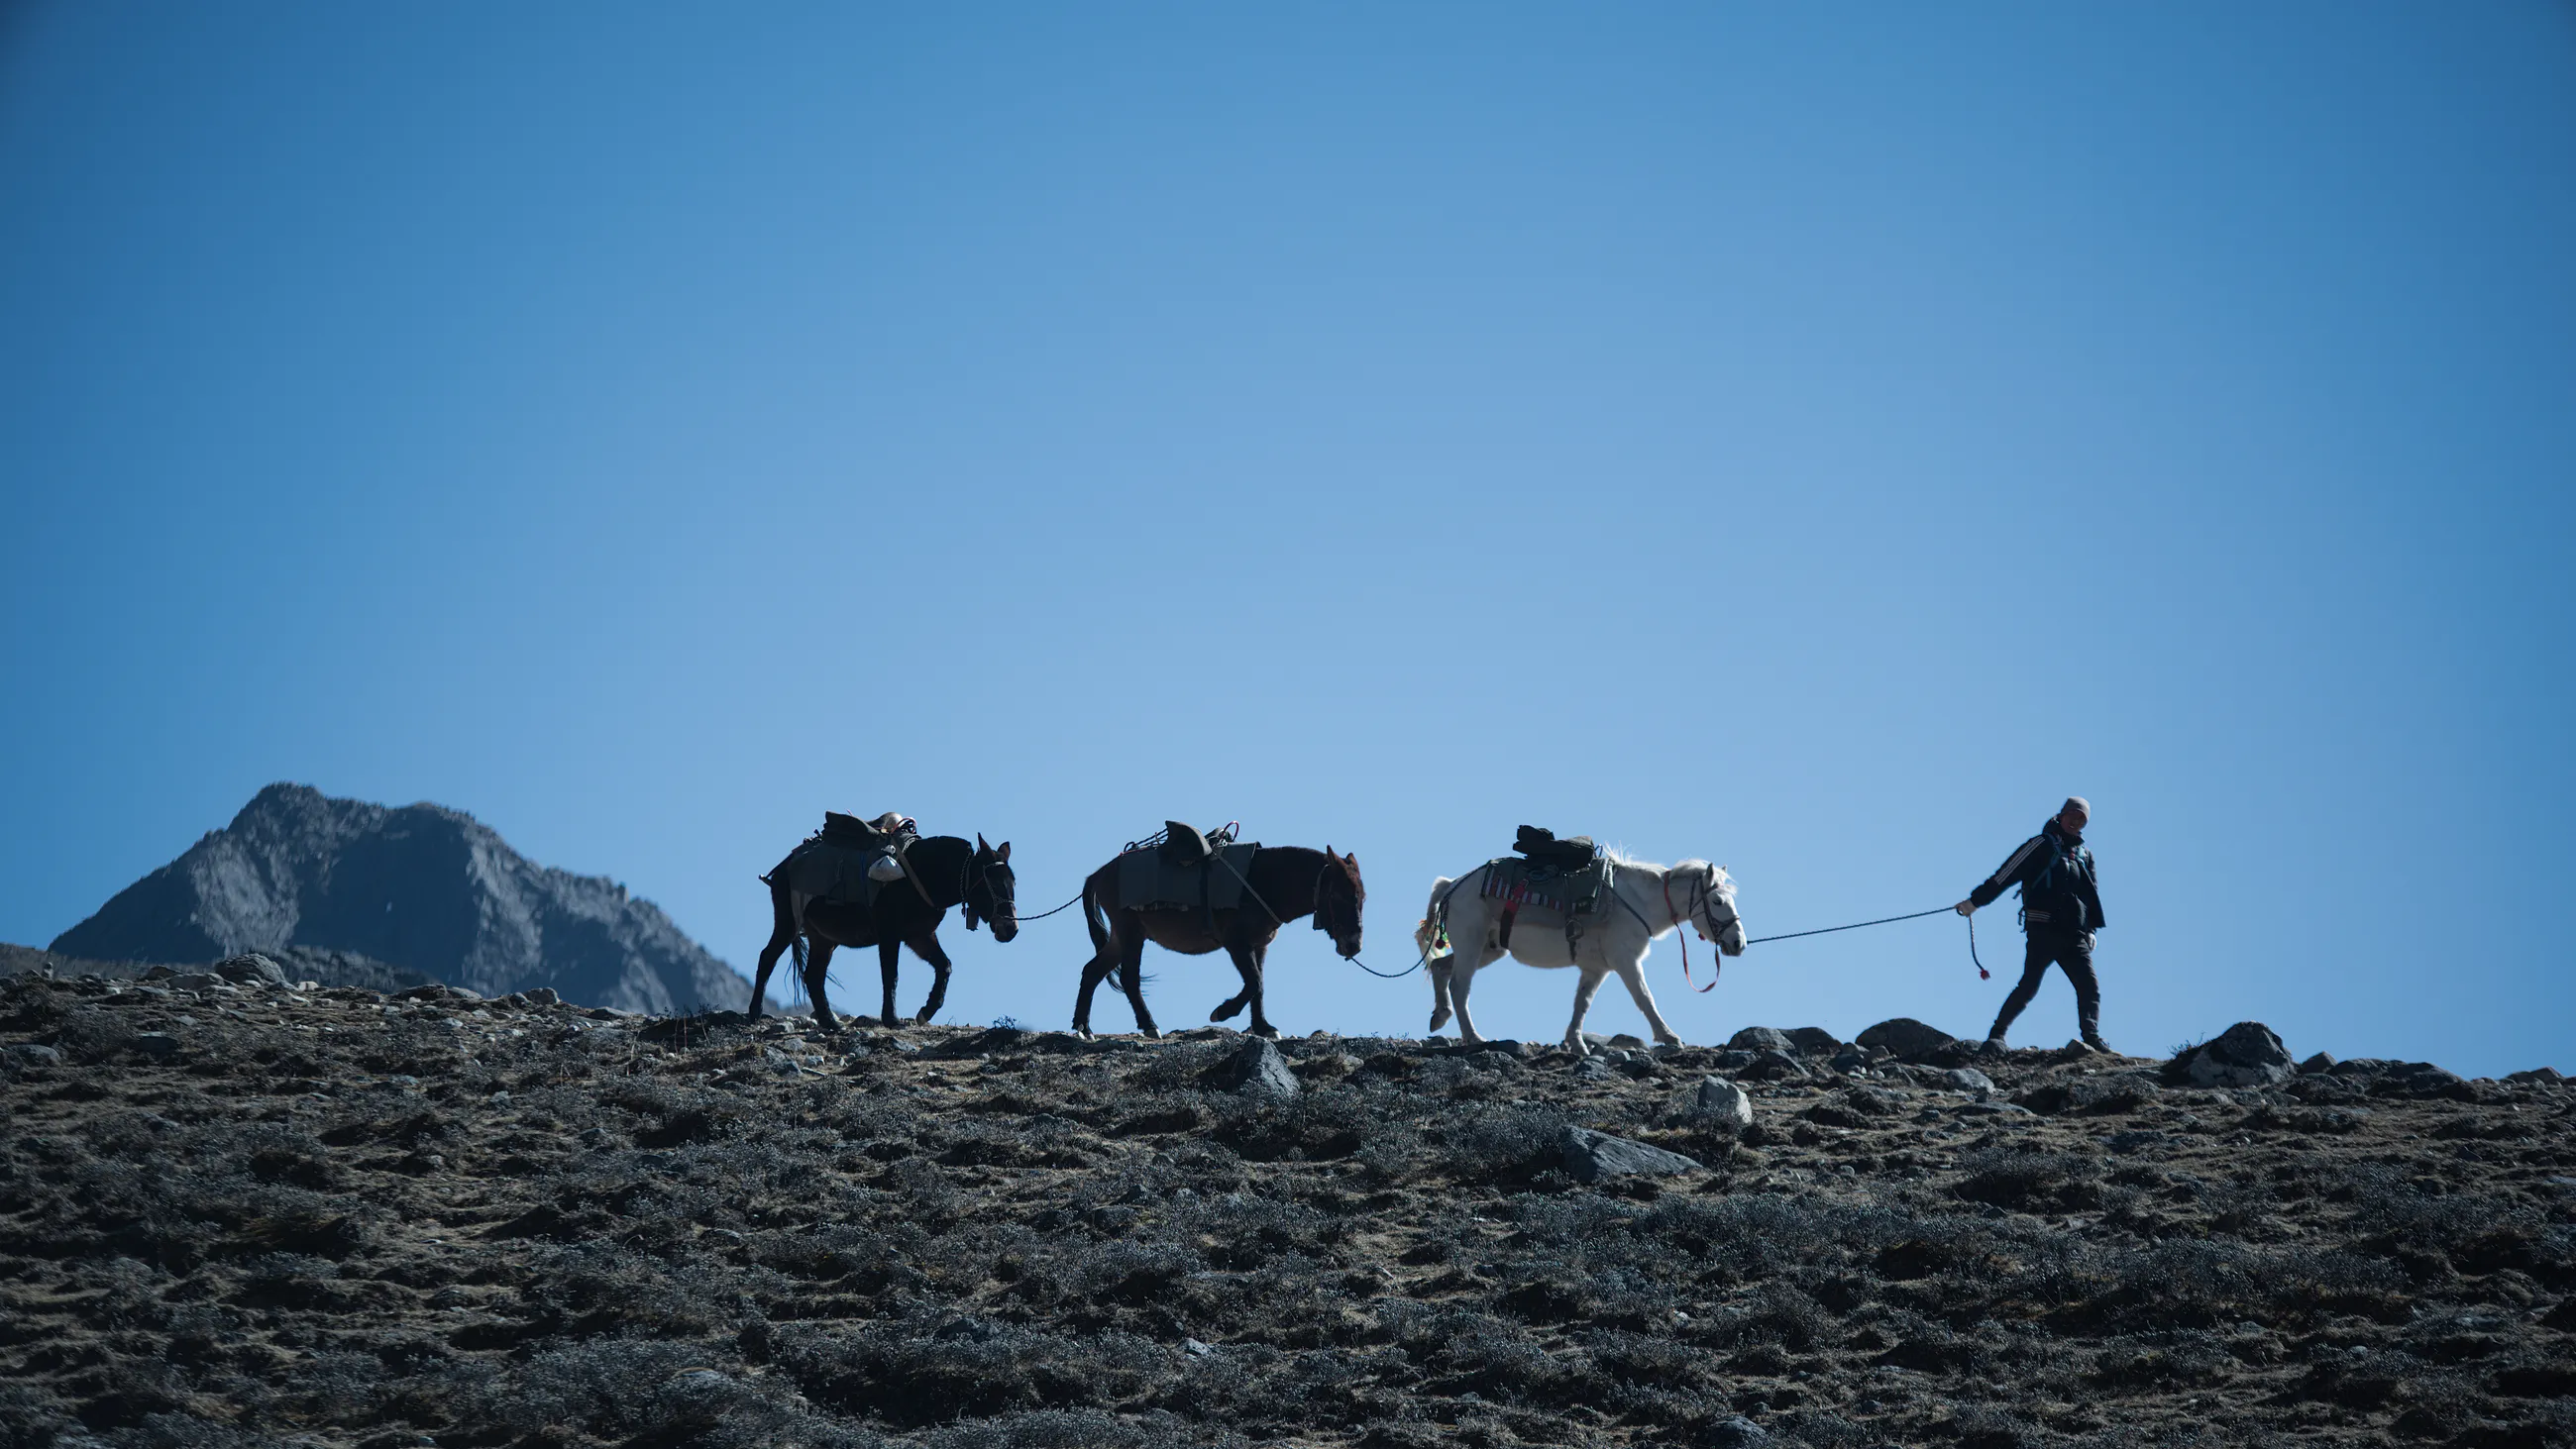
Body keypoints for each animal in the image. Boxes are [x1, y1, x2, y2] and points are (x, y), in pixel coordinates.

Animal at [749, 833, 1018, 1031]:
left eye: (1013, 883)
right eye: (993, 883)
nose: (1010, 929)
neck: (924, 875)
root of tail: (784, 866)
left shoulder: (919, 936)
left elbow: (944, 966)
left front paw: (926, 1011)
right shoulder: (890, 935)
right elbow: (891, 975)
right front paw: (892, 1019)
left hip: (823, 939)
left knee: (813, 976)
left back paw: (831, 1022)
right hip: (788, 922)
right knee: (767, 958)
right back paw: (755, 1012)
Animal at [1071, 845, 1364, 1040]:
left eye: (1362, 897)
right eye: (1337, 895)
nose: (1354, 945)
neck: (1263, 882)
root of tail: (1101, 873)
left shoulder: (1259, 945)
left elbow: (1259, 986)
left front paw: (1263, 1027)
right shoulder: (1237, 944)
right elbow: (1254, 982)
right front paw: (1222, 1012)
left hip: (1121, 938)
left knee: (1092, 971)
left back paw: (1084, 1028)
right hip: (1131, 933)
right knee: (1129, 978)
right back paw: (1149, 1025)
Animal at [1412, 854, 1743, 1055]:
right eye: (1717, 901)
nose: (1738, 943)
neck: (1637, 902)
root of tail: (1453, 885)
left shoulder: (1596, 969)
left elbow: (1582, 1004)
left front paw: (1576, 1043)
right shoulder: (1625, 961)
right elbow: (1644, 998)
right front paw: (1670, 1037)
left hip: (1489, 950)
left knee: (1440, 968)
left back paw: (1439, 1017)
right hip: (1472, 945)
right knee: (1459, 986)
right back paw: (1473, 1037)